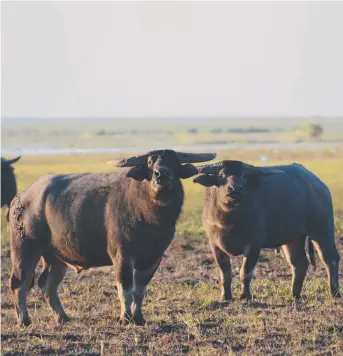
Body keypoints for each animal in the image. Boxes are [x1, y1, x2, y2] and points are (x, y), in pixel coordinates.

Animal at [9, 149, 216, 326]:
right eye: (150, 162)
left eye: (175, 162)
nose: (161, 174)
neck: (151, 220)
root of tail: (20, 198)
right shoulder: (122, 256)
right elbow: (126, 289)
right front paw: (125, 318)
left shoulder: (153, 258)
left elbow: (140, 290)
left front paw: (139, 318)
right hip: (24, 249)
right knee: (18, 283)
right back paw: (24, 320)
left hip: (56, 257)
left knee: (48, 284)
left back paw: (62, 318)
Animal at [194, 161, 342, 304]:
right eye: (221, 174)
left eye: (244, 176)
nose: (235, 189)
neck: (229, 219)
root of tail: (319, 185)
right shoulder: (215, 245)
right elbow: (225, 274)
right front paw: (225, 297)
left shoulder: (253, 245)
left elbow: (245, 272)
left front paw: (244, 296)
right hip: (294, 238)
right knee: (299, 264)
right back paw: (294, 295)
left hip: (322, 230)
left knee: (330, 259)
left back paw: (334, 293)